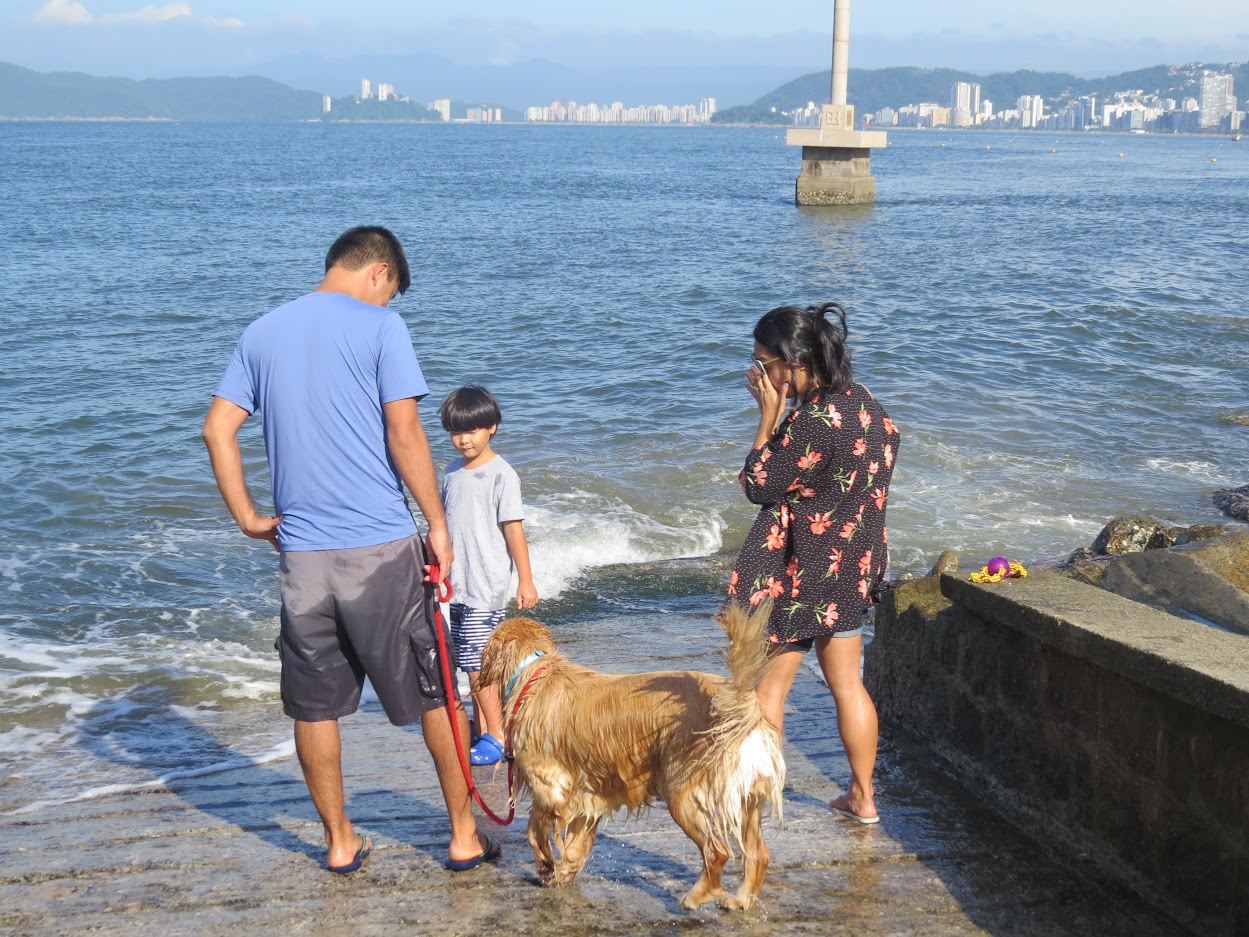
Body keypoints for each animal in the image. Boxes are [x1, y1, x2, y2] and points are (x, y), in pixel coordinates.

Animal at [474, 602, 779, 909]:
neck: (534, 672)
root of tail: (738, 703)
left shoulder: (550, 786)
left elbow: (534, 829)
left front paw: (547, 866)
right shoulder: (588, 793)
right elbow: (575, 843)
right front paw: (562, 872)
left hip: (683, 793)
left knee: (717, 851)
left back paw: (695, 897)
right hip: (748, 796)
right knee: (758, 854)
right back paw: (741, 898)